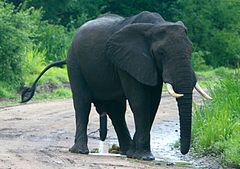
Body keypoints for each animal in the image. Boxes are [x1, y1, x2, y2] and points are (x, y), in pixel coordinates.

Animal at [21, 11, 212, 160]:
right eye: (161, 53)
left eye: (191, 50)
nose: (183, 152)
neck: (156, 25)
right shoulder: (128, 62)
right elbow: (140, 101)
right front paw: (144, 157)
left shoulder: (149, 66)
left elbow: (153, 103)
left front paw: (137, 154)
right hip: (74, 62)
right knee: (82, 103)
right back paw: (80, 151)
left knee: (116, 109)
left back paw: (125, 151)